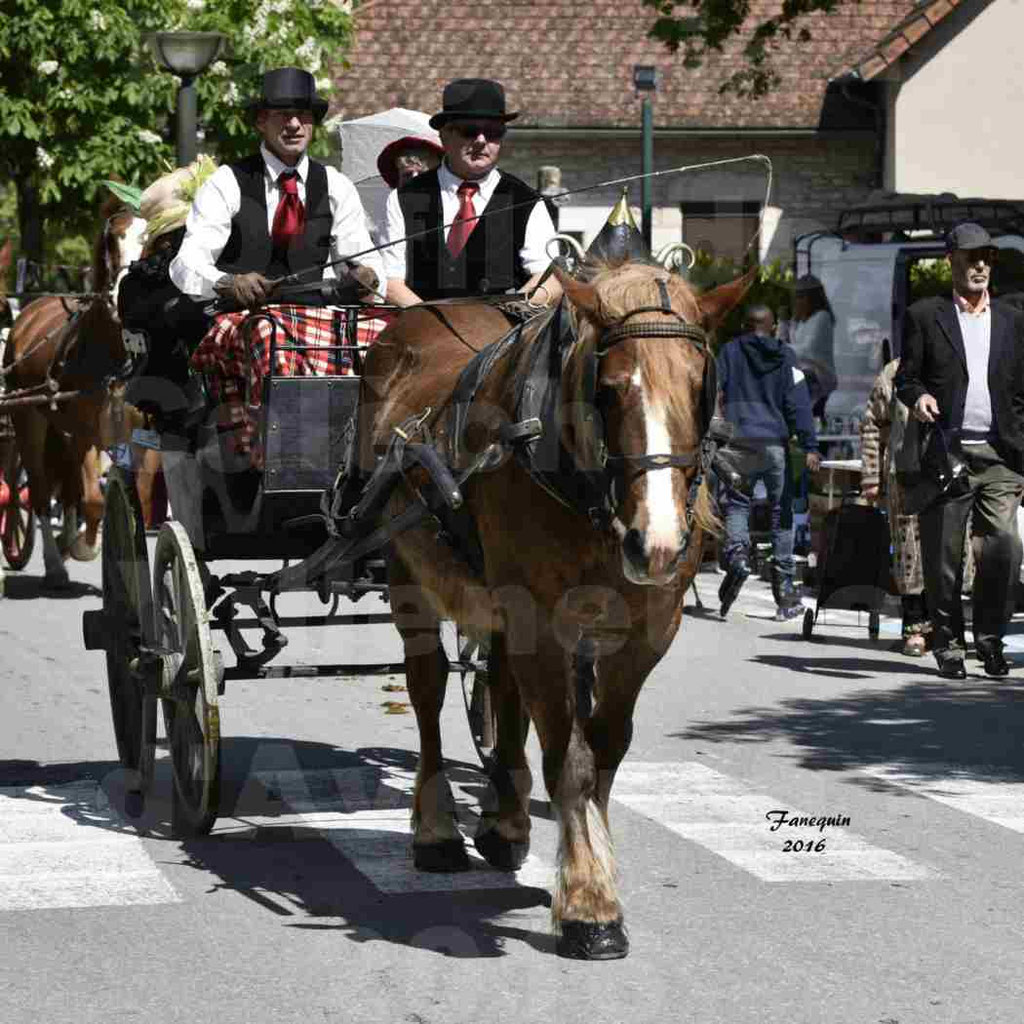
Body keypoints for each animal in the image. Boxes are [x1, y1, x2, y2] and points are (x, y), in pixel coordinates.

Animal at [2, 197, 147, 585]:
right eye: (113, 240)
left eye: (154, 243)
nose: (124, 297)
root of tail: (29, 313)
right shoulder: (86, 431)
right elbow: (93, 499)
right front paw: (86, 546)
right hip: (27, 418)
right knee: (39, 491)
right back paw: (55, 562)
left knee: (66, 484)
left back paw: (66, 540)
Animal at [362, 260, 753, 954]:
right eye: (610, 389)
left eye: (699, 384)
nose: (656, 543)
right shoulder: (538, 619)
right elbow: (569, 761)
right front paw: (589, 904)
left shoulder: (650, 628)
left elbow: (605, 749)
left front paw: (586, 860)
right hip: (410, 575)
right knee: (428, 689)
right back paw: (436, 830)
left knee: (501, 687)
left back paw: (506, 820)